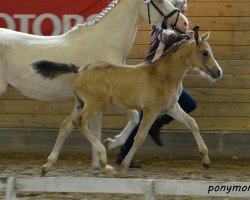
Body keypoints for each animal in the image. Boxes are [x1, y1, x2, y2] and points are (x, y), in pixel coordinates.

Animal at [32, 29, 222, 173]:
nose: (218, 72)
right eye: (205, 53)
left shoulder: (171, 107)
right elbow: (140, 137)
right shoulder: (151, 110)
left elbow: (192, 123)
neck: (165, 75)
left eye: (210, 51)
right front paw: (124, 164)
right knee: (79, 122)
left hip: (80, 104)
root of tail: (79, 70)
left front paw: (205, 160)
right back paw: (103, 159)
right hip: (95, 104)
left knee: (66, 125)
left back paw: (47, 165)